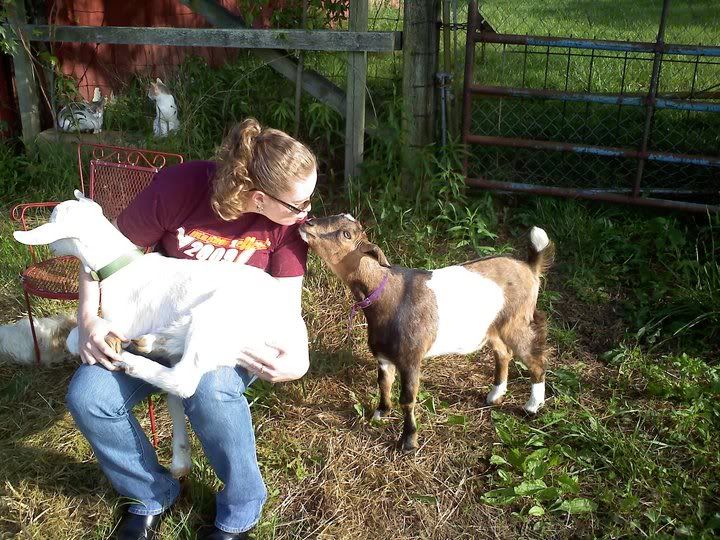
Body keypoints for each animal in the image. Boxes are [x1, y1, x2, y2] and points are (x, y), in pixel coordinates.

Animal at [299, 214, 554, 452]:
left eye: (346, 234)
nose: (307, 223)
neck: (389, 295)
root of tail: (529, 267)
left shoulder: (410, 358)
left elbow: (407, 399)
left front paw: (409, 440)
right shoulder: (383, 356)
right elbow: (383, 383)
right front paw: (381, 413)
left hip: (517, 321)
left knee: (535, 360)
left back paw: (532, 406)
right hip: (493, 326)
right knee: (503, 353)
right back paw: (494, 395)